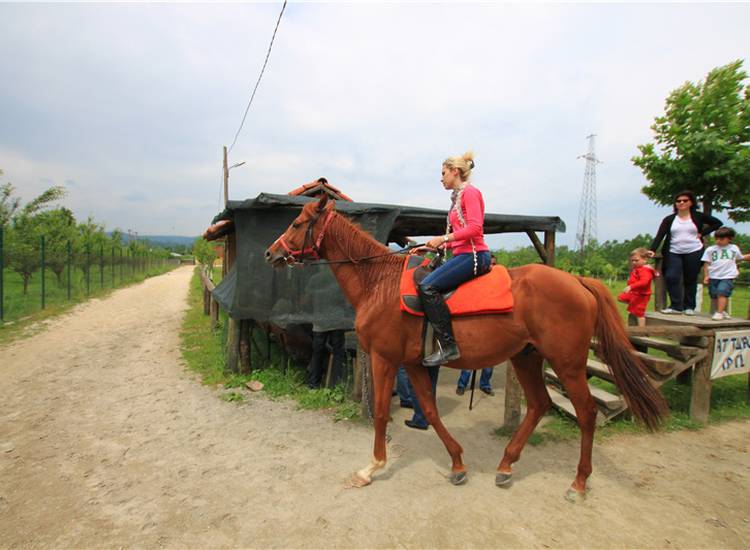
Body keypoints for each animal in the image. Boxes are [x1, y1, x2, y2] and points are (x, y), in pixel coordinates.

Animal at [266, 196, 668, 502]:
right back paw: (506, 466)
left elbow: (380, 413)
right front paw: (458, 463)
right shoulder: (415, 363)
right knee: (539, 404)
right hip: (526, 357)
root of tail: (578, 281)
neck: (379, 282)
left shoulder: (384, 359)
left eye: (298, 223)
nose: (270, 253)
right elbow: (429, 410)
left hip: (567, 364)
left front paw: (372, 467)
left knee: (586, 413)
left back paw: (579, 483)